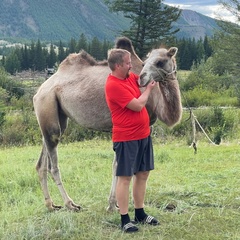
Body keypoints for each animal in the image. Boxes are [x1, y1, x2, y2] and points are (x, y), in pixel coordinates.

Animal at [33, 36, 182, 212]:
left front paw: (123, 202)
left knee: (42, 161)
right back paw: (70, 204)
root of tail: (39, 91)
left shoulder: (144, 127)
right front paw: (113, 204)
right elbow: (118, 165)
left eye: (160, 61)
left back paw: (50, 204)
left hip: (54, 117)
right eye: (145, 63)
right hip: (47, 106)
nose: (142, 78)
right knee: (53, 164)